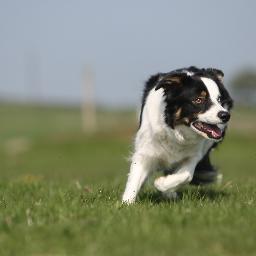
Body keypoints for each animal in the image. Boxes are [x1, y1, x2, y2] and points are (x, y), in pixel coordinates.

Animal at [123, 66, 233, 204]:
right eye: (198, 99)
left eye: (219, 100)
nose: (225, 115)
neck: (176, 132)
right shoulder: (145, 150)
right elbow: (135, 178)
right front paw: (126, 203)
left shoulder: (194, 154)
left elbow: (186, 175)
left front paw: (162, 184)